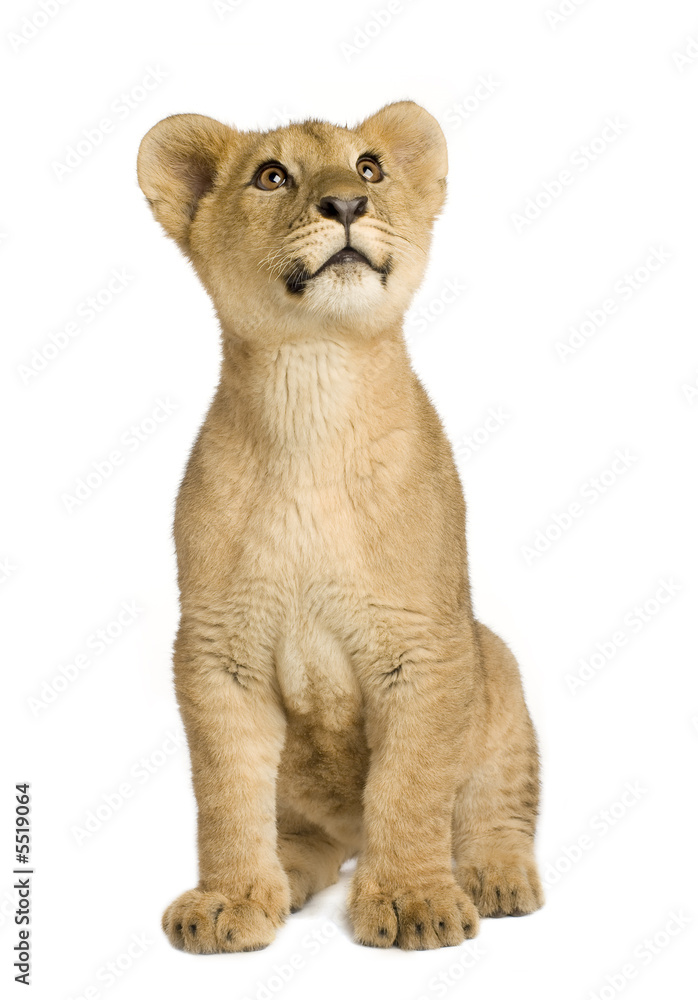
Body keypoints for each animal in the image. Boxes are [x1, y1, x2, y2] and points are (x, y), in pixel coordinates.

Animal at [137, 101, 543, 953]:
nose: (348, 205)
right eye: (271, 176)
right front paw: (227, 899)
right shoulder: (216, 651)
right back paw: (284, 875)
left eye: (370, 169)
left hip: (496, 661)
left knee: (494, 804)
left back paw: (494, 876)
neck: (314, 382)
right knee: (305, 834)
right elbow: (226, 793)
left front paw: (416, 901)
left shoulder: (428, 642)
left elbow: (411, 786)